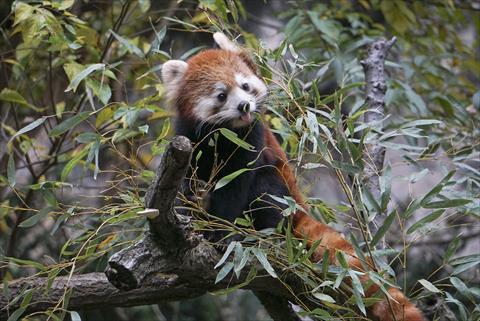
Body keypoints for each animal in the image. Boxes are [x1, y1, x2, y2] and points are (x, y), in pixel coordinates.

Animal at [163, 31, 426, 318]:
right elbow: (187, 188)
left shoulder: (251, 142)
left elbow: (235, 188)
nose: (244, 106)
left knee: (266, 193)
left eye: (245, 86)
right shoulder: (189, 139)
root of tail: (300, 208)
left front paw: (223, 234)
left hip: (279, 190)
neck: (224, 136)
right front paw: (194, 220)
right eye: (222, 95)